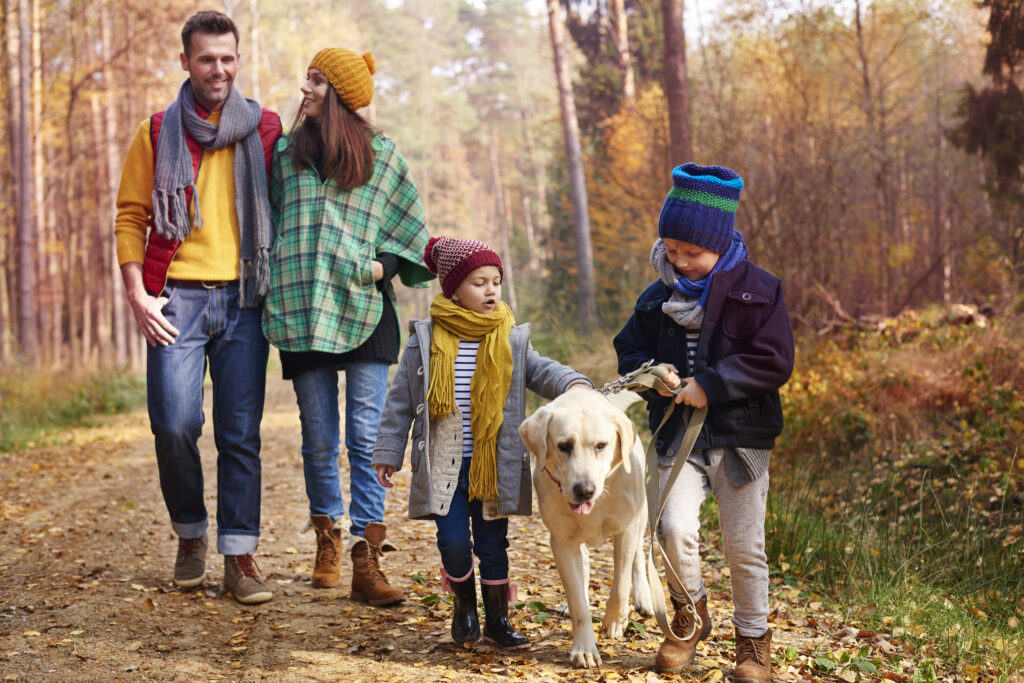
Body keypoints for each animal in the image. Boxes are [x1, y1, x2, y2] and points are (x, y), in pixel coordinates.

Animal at [520, 389, 655, 667]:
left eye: (601, 446)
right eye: (564, 446)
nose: (584, 490)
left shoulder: (626, 529)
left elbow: (621, 583)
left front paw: (616, 620)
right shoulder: (561, 542)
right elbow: (578, 604)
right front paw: (584, 649)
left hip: (641, 515)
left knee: (637, 556)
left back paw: (643, 598)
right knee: (582, 566)